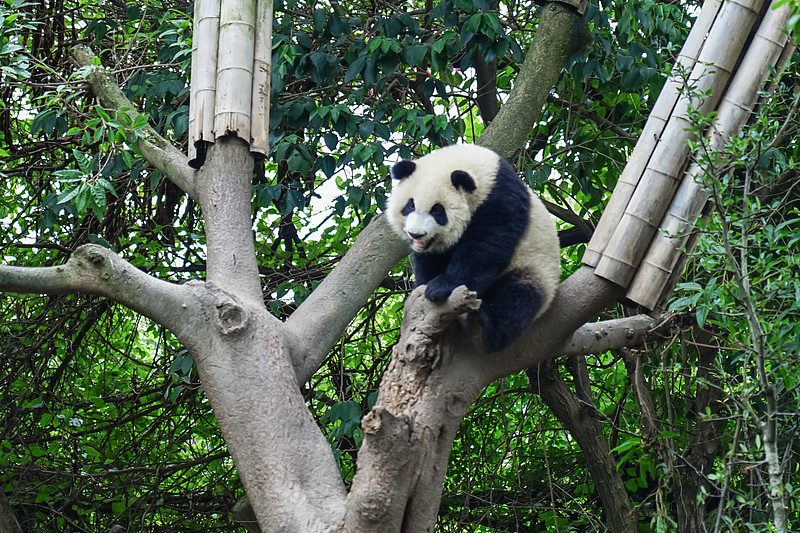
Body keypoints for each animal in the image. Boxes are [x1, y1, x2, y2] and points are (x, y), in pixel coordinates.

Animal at [387, 144, 560, 352]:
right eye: (410, 205)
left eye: (437, 211)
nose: (416, 234)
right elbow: (430, 260)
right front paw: (423, 288)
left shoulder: (500, 199)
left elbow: (485, 247)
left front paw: (441, 286)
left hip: (535, 266)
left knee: (517, 297)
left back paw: (486, 325)